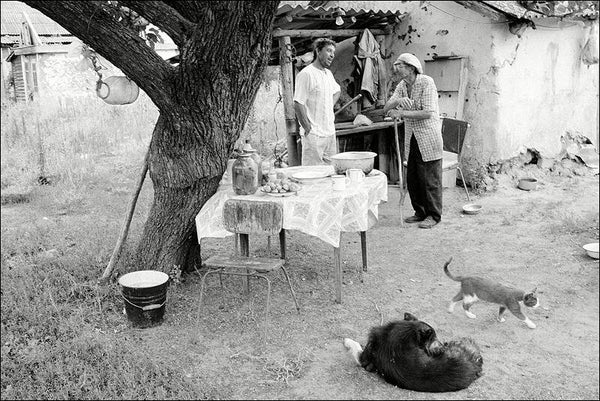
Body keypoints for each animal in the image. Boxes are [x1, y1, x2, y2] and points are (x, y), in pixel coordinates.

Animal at [342, 312, 482, 390]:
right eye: (435, 337)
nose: (443, 347)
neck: (406, 329)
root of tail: (474, 364)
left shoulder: (364, 357)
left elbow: (356, 346)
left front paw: (347, 341)